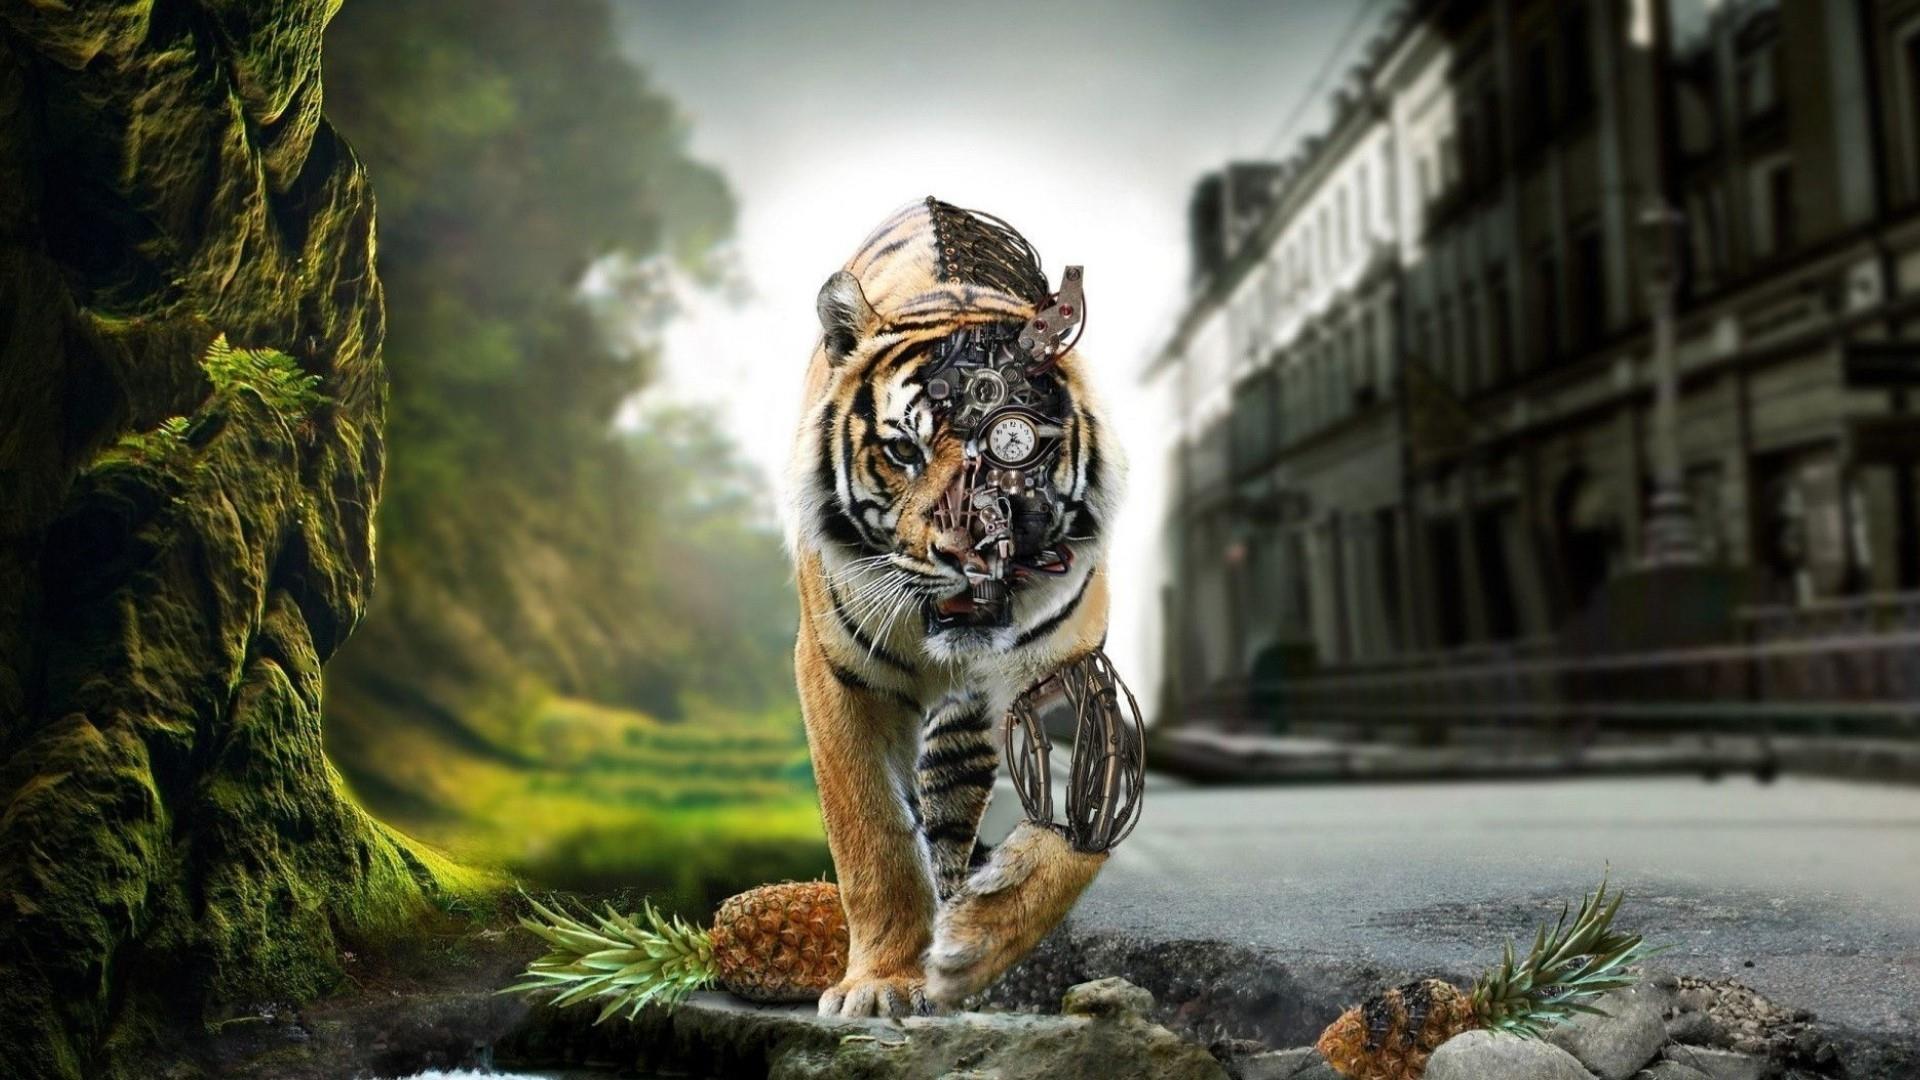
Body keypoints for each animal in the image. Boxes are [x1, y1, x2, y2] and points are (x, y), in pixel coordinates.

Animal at [787, 197, 1125, 1017]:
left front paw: (973, 944)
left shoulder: (1073, 674)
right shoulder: (837, 675)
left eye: (1014, 447)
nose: (970, 552)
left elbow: (1075, 834)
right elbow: (872, 834)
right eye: (902, 452)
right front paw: (880, 982)